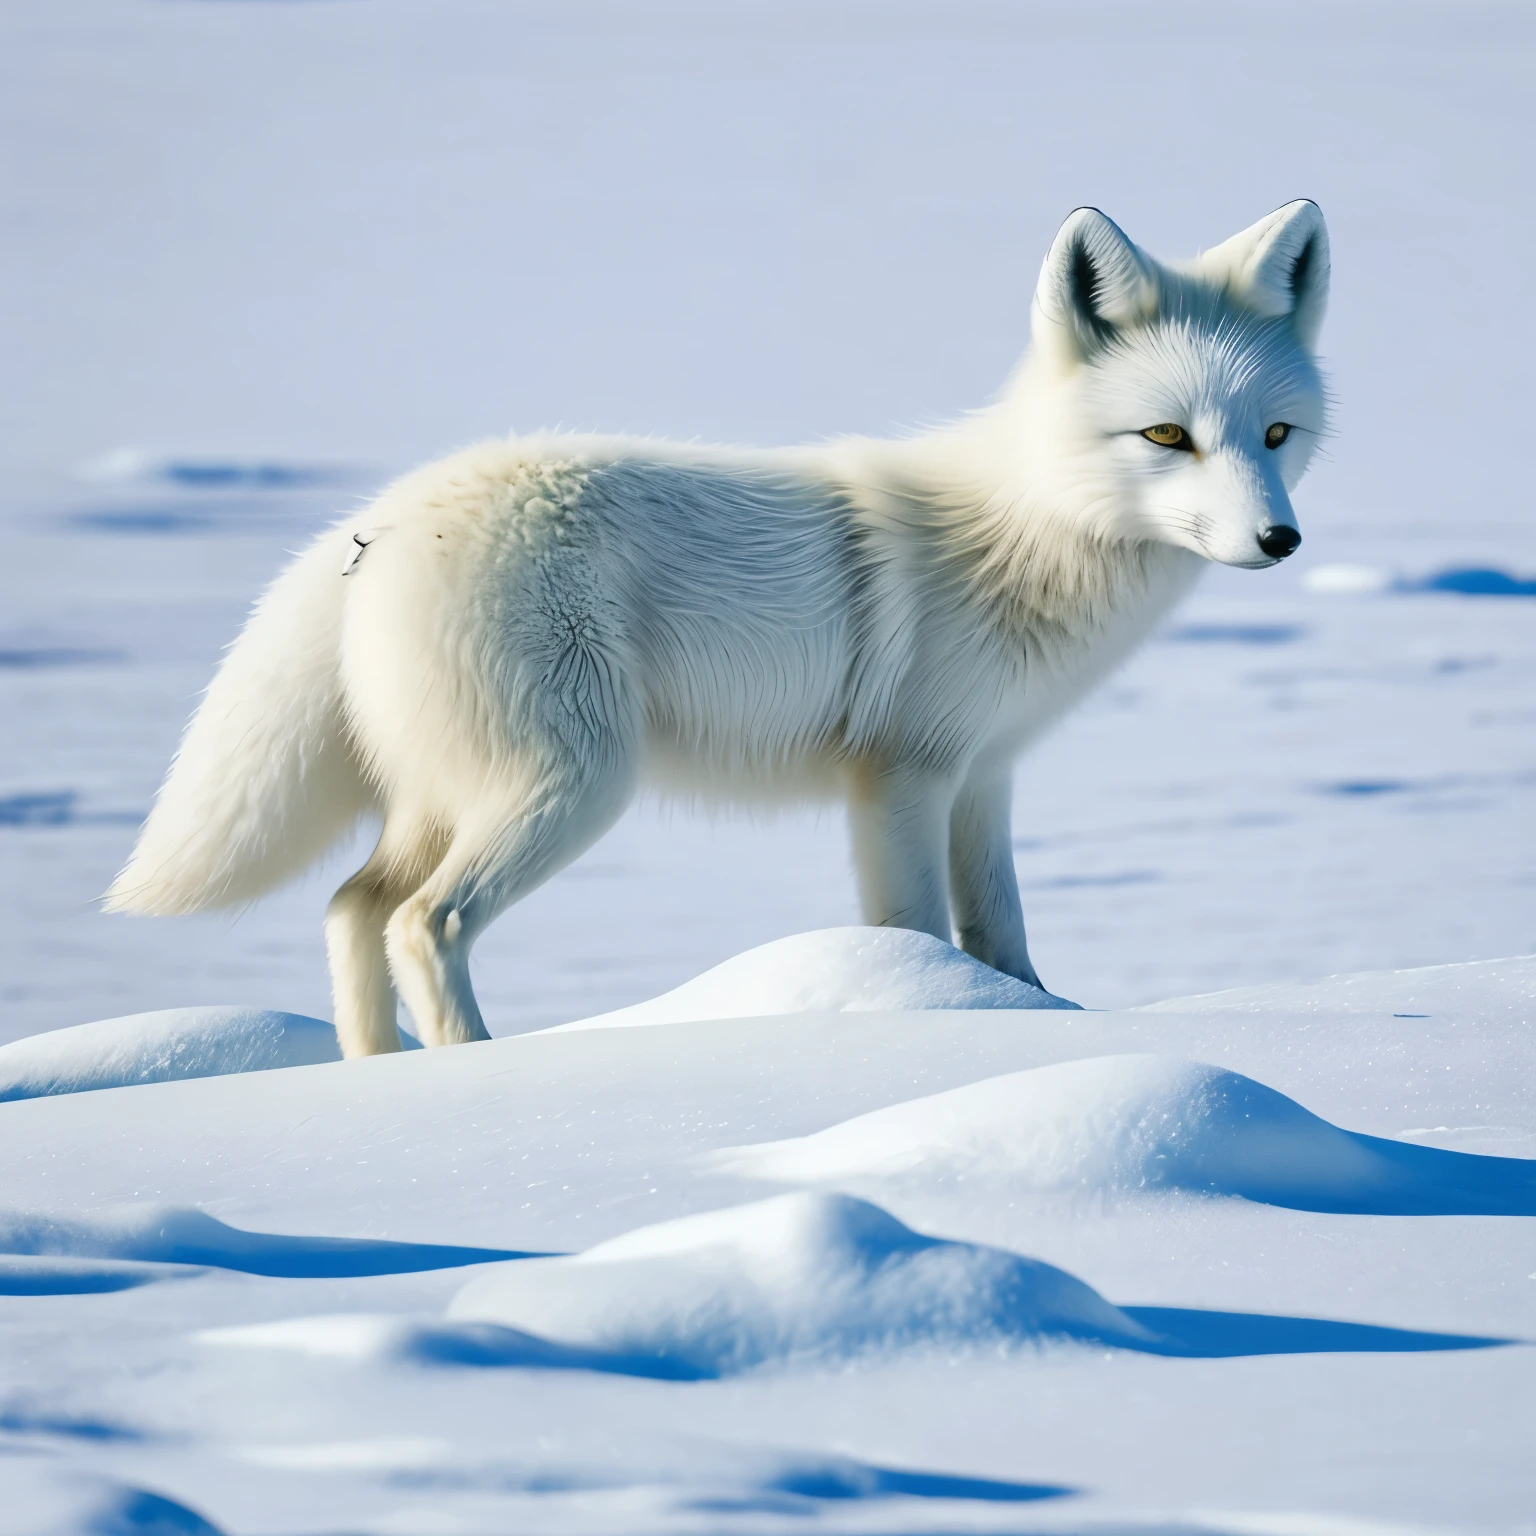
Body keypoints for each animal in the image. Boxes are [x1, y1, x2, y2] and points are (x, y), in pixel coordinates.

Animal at [111, 204, 1333, 1056]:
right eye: (1166, 435)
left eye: (1275, 434)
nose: (1279, 540)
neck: (1029, 529)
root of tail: (382, 517)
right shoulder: (901, 778)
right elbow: (919, 932)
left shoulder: (984, 775)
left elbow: (1005, 941)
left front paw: (1038, 1025)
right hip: (566, 783)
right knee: (422, 921)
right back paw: (477, 1071)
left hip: (448, 792)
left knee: (349, 907)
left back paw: (377, 1077)